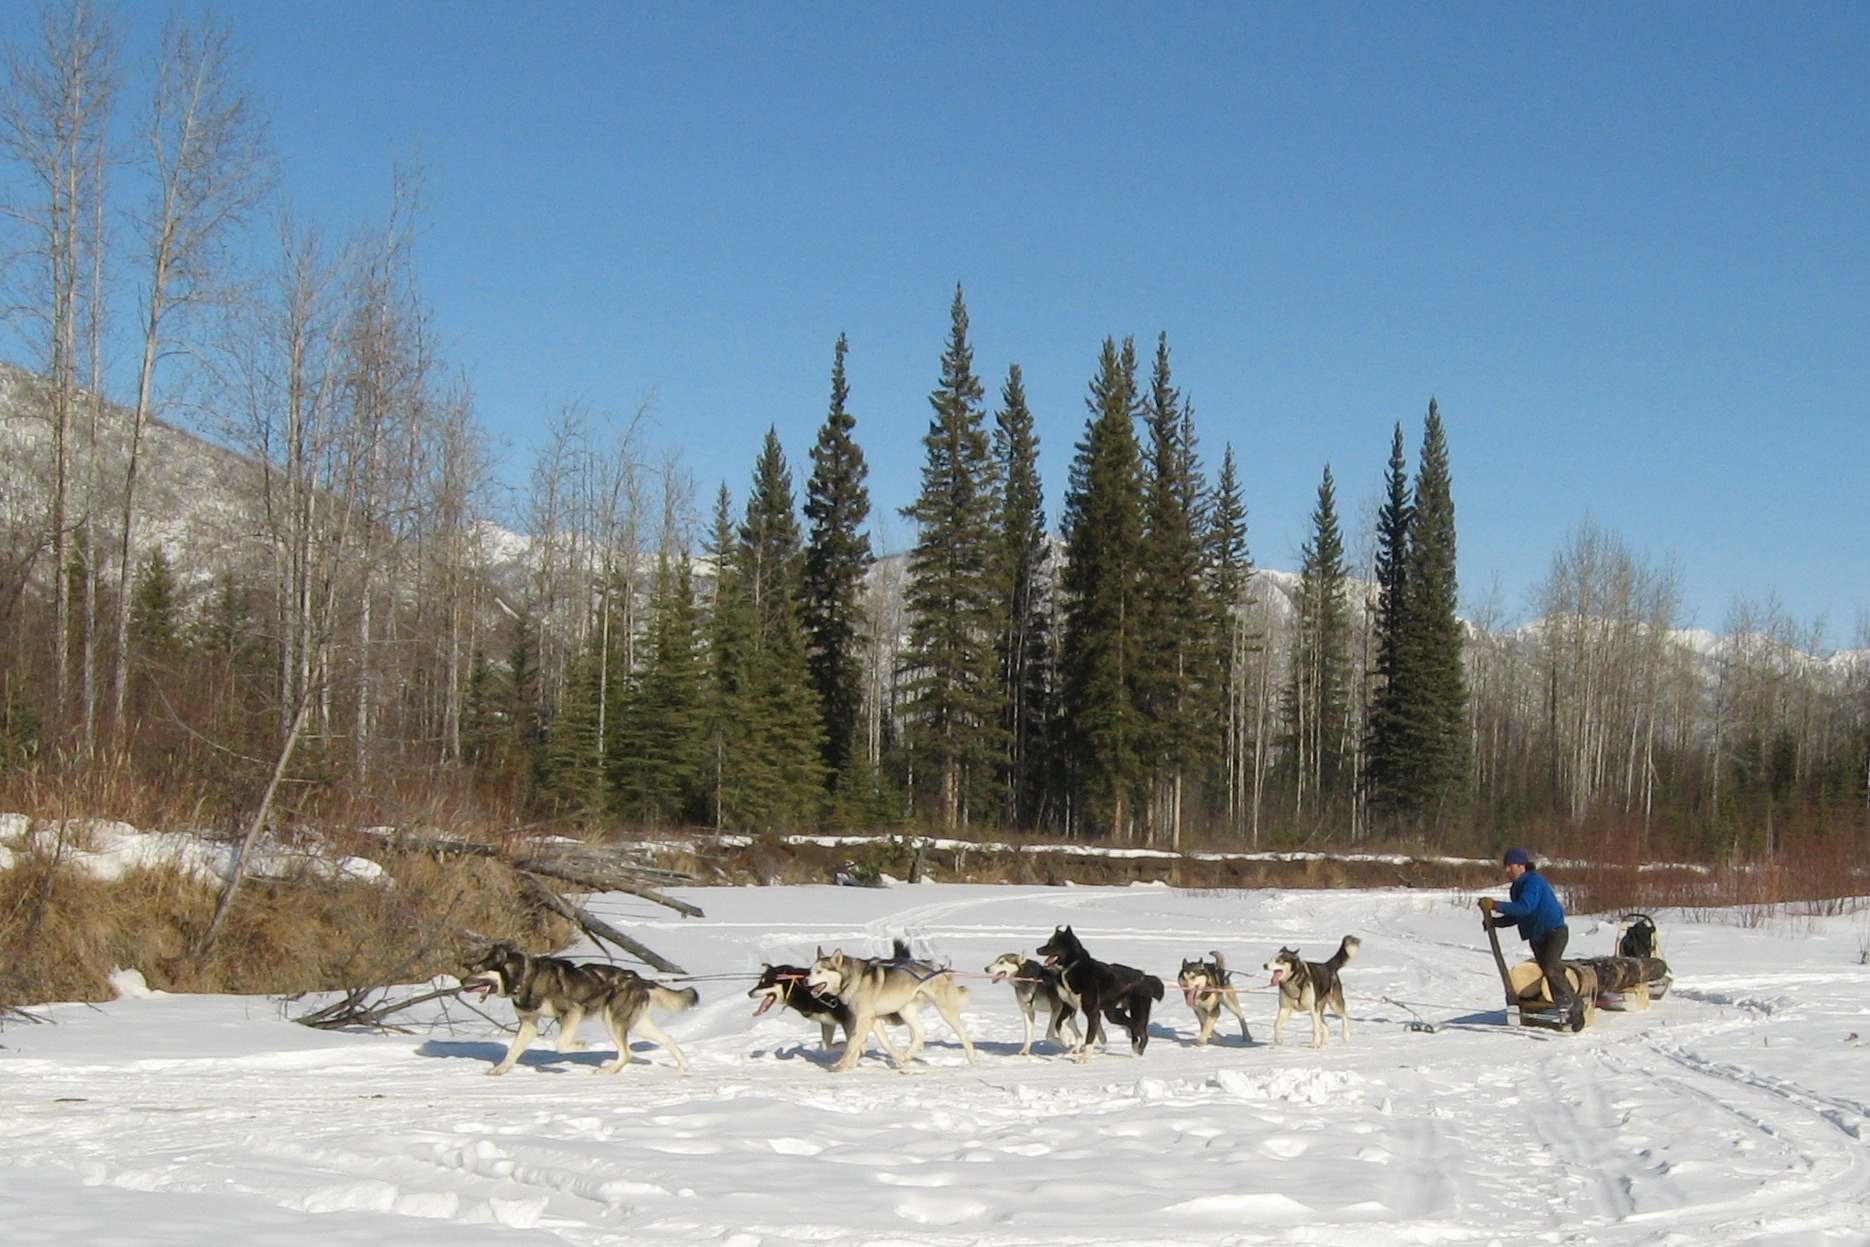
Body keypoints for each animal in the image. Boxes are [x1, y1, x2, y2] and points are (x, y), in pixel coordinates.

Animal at [463, 942, 699, 1076]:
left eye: (478, 970)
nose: (462, 980)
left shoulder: (571, 1013)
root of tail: (640, 979)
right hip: (636, 1023)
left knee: (627, 1053)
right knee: (667, 1038)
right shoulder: (529, 1024)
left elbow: (561, 1045)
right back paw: (683, 1066)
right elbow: (512, 1052)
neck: (524, 978)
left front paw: (580, 1045)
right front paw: (499, 1069)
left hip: (612, 1021)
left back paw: (608, 1070)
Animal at [804, 946, 979, 1076]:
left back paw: (972, 1059)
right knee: (920, 1033)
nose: (805, 981)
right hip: (905, 1010)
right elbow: (884, 1043)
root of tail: (936, 967)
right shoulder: (873, 1020)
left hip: (944, 1010)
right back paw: (906, 1055)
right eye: (811, 971)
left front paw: (841, 1064)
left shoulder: (865, 1019)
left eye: (819, 972)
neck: (852, 980)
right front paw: (899, 1058)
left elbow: (853, 1043)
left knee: (963, 1035)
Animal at [1032, 927, 1159, 1061]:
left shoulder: (1092, 1012)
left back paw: (1138, 1054)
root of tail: (1144, 978)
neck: (1071, 967)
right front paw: (1066, 1040)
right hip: (1113, 1014)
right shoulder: (1069, 1007)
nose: (1038, 949)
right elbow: (1058, 1024)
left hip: (1138, 1012)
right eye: (1048, 942)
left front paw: (1084, 1058)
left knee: (1143, 1034)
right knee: (1132, 1025)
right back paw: (1135, 1049)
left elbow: (1089, 1037)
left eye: (1053, 944)